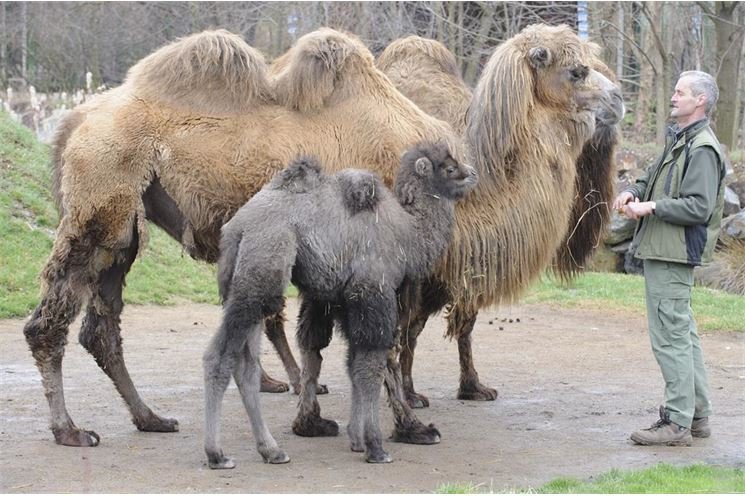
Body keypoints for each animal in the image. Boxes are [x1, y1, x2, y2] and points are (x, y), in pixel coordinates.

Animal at [374, 25, 624, 406]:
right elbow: (407, 328)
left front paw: (469, 386)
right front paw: (409, 395)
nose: (619, 98)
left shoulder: (463, 266)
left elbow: (454, 323)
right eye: (576, 71)